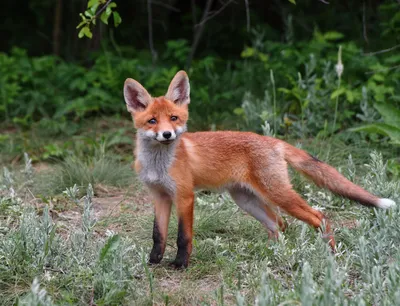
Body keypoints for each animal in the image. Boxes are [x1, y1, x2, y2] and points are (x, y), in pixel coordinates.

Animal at [124, 70, 396, 268]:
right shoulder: (159, 196)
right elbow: (158, 235)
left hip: (277, 194)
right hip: (247, 200)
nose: (167, 135)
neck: (158, 165)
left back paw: (331, 254)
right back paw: (273, 255)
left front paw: (180, 264)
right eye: (152, 121)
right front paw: (153, 262)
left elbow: (183, 236)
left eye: (174, 118)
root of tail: (272, 140)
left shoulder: (184, 196)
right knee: (279, 225)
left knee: (319, 217)